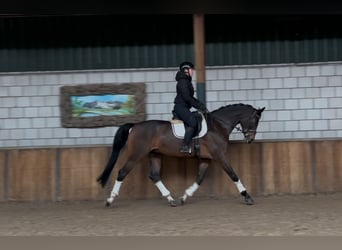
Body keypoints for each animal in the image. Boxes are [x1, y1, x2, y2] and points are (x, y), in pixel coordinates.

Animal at [97, 103, 266, 207]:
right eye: (255, 120)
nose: (250, 139)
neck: (218, 125)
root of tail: (135, 126)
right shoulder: (220, 156)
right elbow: (234, 175)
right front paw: (247, 196)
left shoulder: (207, 159)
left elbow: (200, 179)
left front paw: (185, 196)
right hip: (136, 154)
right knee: (122, 172)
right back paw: (110, 200)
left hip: (154, 155)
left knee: (154, 175)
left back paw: (171, 199)